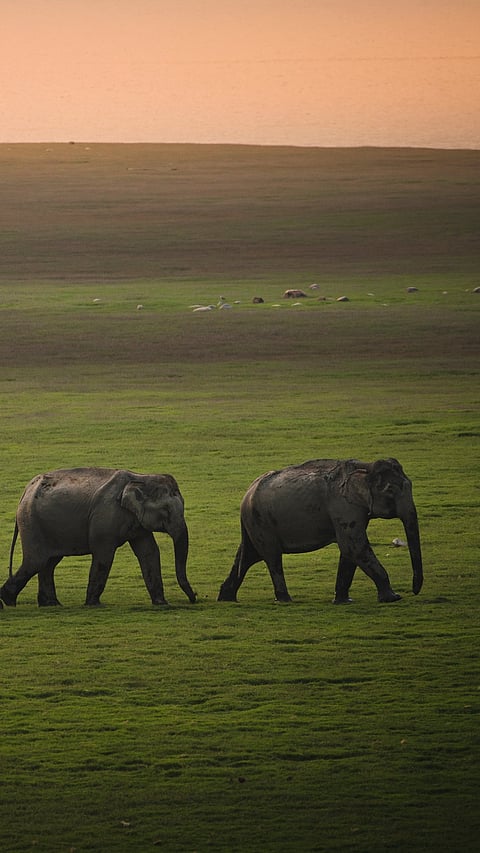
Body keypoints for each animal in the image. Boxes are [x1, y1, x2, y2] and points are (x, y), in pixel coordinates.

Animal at [0, 467, 196, 608]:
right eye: (166, 510)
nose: (194, 597)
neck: (141, 477)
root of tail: (26, 490)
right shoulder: (105, 518)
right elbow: (104, 556)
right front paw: (93, 605)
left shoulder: (138, 523)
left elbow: (149, 553)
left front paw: (162, 604)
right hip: (31, 521)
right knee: (37, 561)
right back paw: (8, 600)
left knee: (49, 563)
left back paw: (51, 604)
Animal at [218, 458, 423, 605]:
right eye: (391, 490)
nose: (414, 591)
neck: (366, 466)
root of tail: (247, 493)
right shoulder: (343, 506)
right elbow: (353, 547)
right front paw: (393, 598)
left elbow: (349, 551)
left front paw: (343, 601)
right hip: (261, 522)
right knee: (272, 557)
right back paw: (285, 600)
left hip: (256, 523)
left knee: (248, 557)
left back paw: (226, 598)